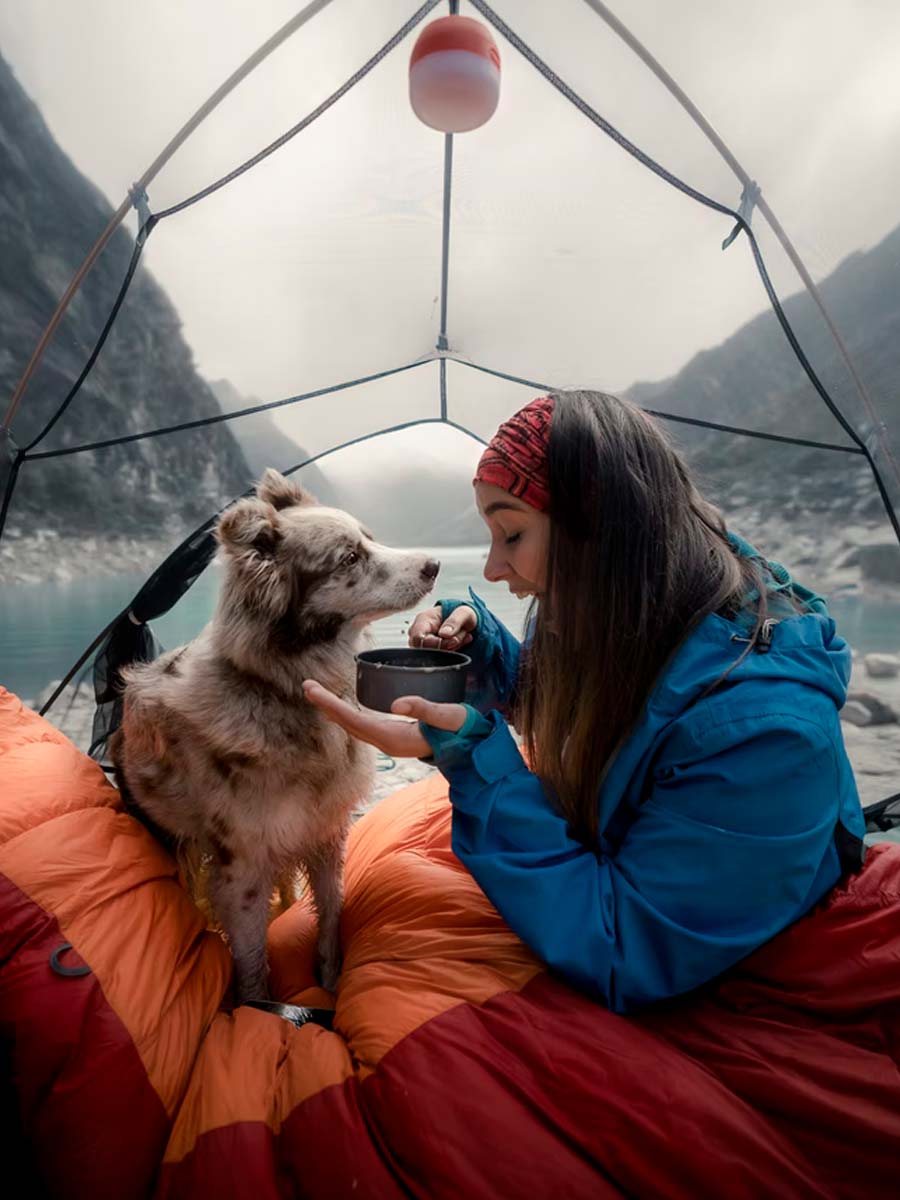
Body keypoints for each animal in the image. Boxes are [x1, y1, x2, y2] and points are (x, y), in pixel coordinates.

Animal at [111, 468, 441, 1003]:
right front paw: (260, 1009)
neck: (280, 691)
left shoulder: (327, 833)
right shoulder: (243, 867)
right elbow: (252, 965)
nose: (434, 565)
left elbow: (331, 919)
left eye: (370, 538)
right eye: (350, 558)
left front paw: (330, 986)